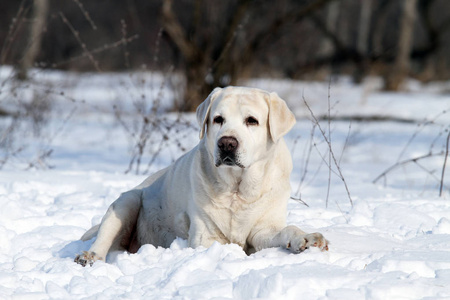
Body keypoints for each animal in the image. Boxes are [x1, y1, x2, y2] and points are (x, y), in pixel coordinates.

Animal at [74, 85, 326, 266]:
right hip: (127, 201)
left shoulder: (264, 229)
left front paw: (308, 238)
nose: (226, 143)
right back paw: (88, 257)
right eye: (218, 119)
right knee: (105, 236)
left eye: (252, 121)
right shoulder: (205, 237)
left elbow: (287, 230)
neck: (237, 189)